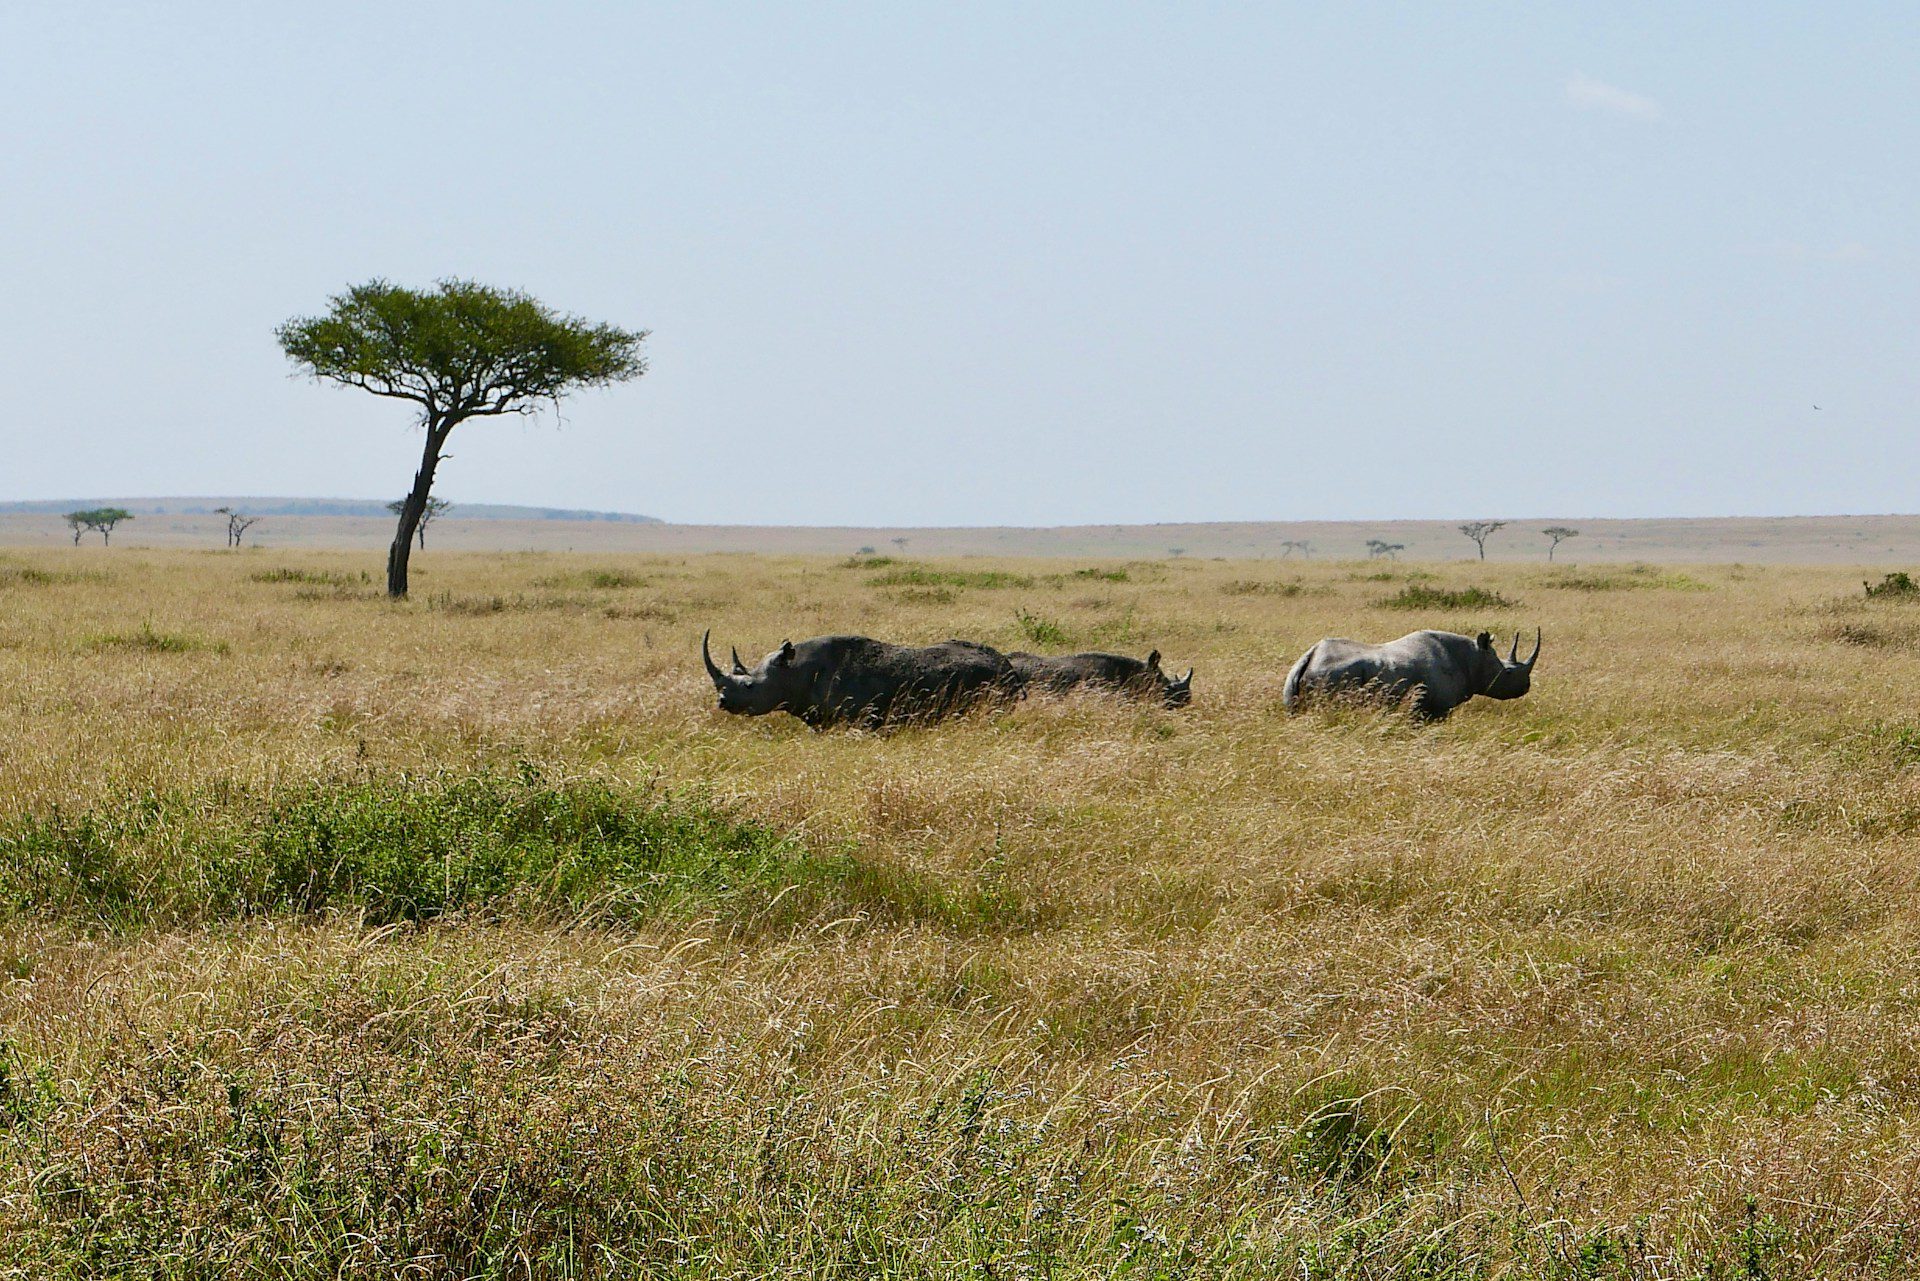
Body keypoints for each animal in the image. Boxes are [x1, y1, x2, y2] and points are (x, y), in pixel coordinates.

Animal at [1282, 629, 1539, 720]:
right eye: (1508, 672)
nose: (1526, 687)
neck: (1473, 658)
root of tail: (1309, 657)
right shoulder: (1436, 707)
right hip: (1332, 676)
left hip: (1295, 677)